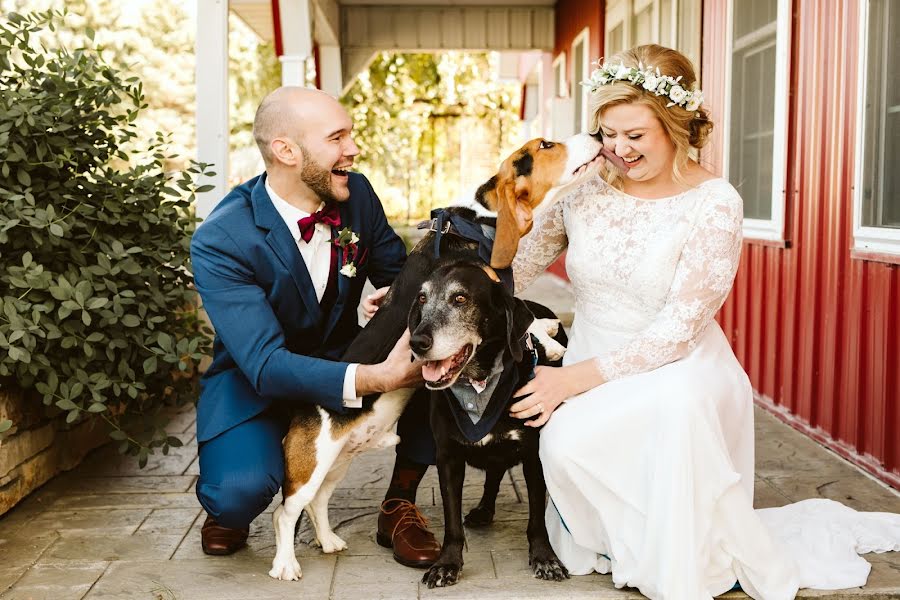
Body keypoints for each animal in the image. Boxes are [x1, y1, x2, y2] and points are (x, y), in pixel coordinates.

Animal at [410, 260, 568, 588]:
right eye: (421, 298)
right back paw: (484, 509)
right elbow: (452, 522)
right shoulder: (448, 457)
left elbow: (537, 518)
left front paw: (545, 557)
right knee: (494, 472)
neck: (478, 385)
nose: (416, 342)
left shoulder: (534, 456)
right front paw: (447, 564)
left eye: (460, 299)